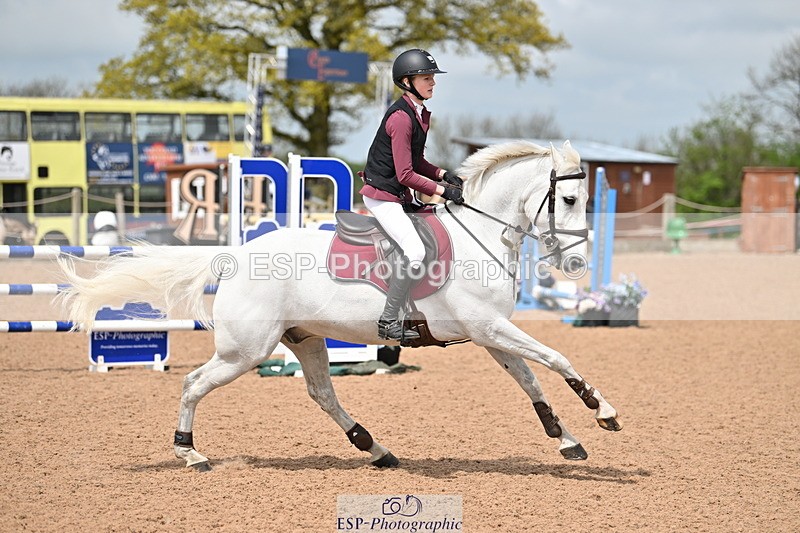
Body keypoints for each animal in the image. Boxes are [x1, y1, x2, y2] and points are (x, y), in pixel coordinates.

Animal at [58, 140, 622, 471]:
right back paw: (189, 451)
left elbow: (531, 381)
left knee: (322, 394)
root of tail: (234, 254)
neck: (478, 235)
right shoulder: (489, 328)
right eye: (569, 200)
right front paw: (604, 411)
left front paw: (567, 440)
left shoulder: (489, 332)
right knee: (195, 383)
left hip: (304, 340)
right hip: (246, 350)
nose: (576, 265)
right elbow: (556, 359)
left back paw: (375, 448)